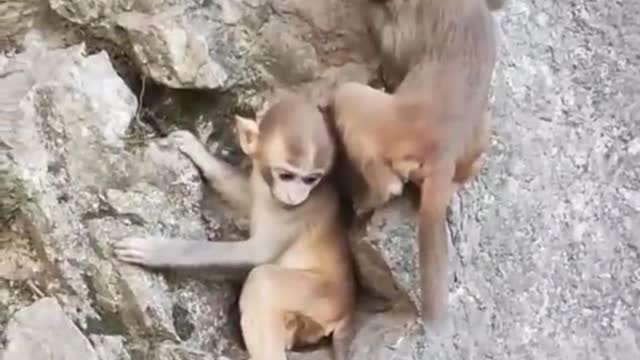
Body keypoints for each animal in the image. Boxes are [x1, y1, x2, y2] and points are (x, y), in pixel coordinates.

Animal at [115, 95, 356, 360]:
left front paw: (155, 250)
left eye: (311, 179)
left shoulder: (303, 210)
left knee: (262, 282)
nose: (296, 195)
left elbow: (256, 254)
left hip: (323, 299)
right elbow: (246, 196)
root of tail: (348, 309)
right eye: (286, 175)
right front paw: (197, 150)